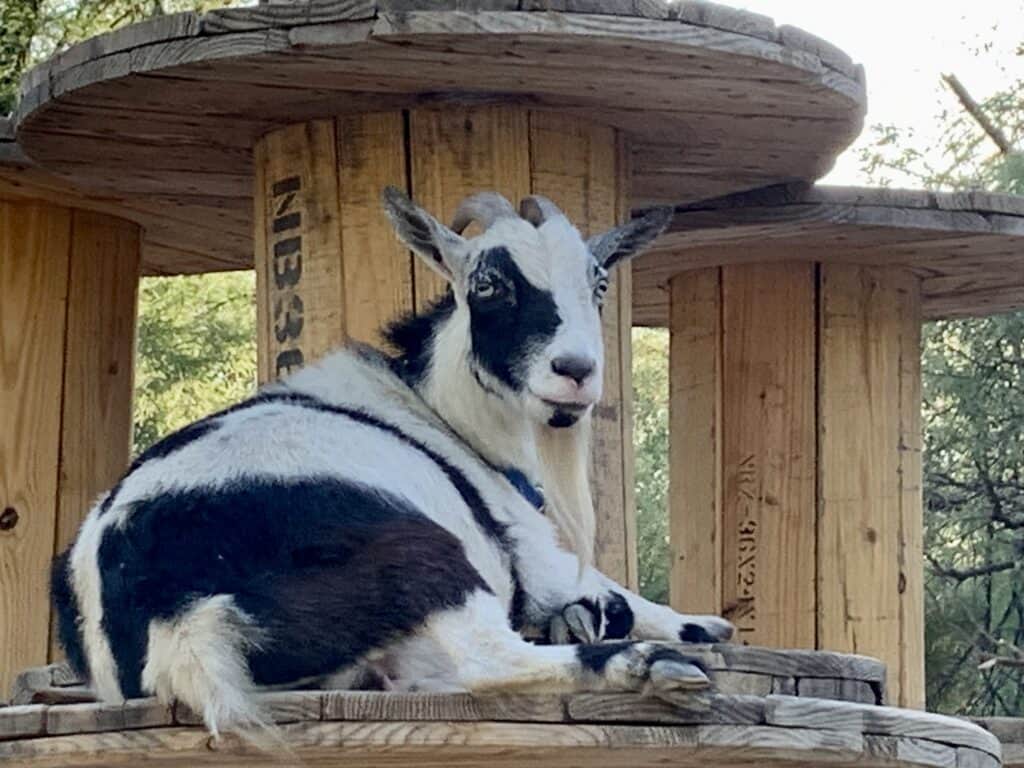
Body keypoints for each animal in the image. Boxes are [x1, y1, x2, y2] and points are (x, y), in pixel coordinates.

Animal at [51, 187, 733, 737]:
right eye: (487, 285)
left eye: (599, 283)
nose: (575, 371)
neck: (442, 420)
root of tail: (171, 608)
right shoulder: (537, 559)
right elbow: (612, 588)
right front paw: (695, 624)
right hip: (418, 553)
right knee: (488, 660)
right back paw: (647, 665)